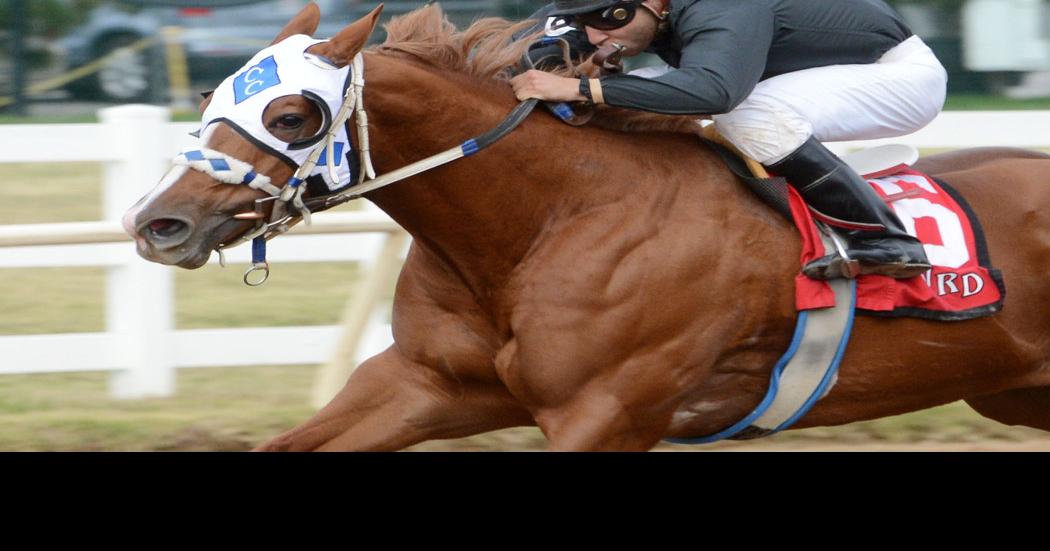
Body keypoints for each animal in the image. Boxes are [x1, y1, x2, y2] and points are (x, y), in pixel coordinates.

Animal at [122, 3, 1050, 451]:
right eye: (209, 96)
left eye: (291, 114)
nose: (159, 222)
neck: (545, 221)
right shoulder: (423, 385)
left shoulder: (604, 412)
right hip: (1013, 392)